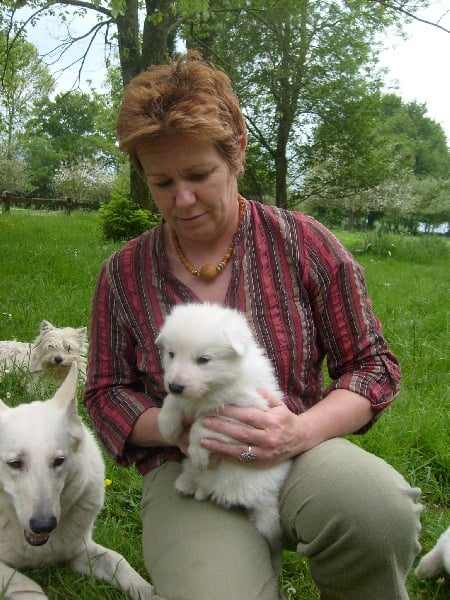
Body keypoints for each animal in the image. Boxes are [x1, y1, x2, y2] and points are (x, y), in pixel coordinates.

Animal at [0, 362, 160, 600]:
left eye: (59, 461)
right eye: (14, 463)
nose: (43, 525)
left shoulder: (80, 550)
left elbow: (119, 562)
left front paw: (151, 593)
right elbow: (28, 585)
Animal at [156, 303, 292, 549]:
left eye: (203, 360)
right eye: (171, 354)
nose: (175, 385)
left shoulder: (244, 410)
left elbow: (205, 423)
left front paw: (198, 451)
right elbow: (172, 402)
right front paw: (167, 426)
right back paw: (188, 483)